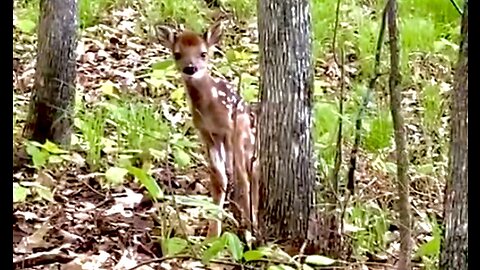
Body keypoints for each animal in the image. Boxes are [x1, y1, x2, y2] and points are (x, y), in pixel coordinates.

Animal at [156, 23, 256, 238]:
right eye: (177, 53)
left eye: (203, 53)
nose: (190, 68)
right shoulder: (206, 133)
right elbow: (219, 179)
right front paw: (212, 235)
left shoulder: (230, 130)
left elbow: (238, 176)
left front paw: (248, 229)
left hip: (242, 135)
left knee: (246, 175)